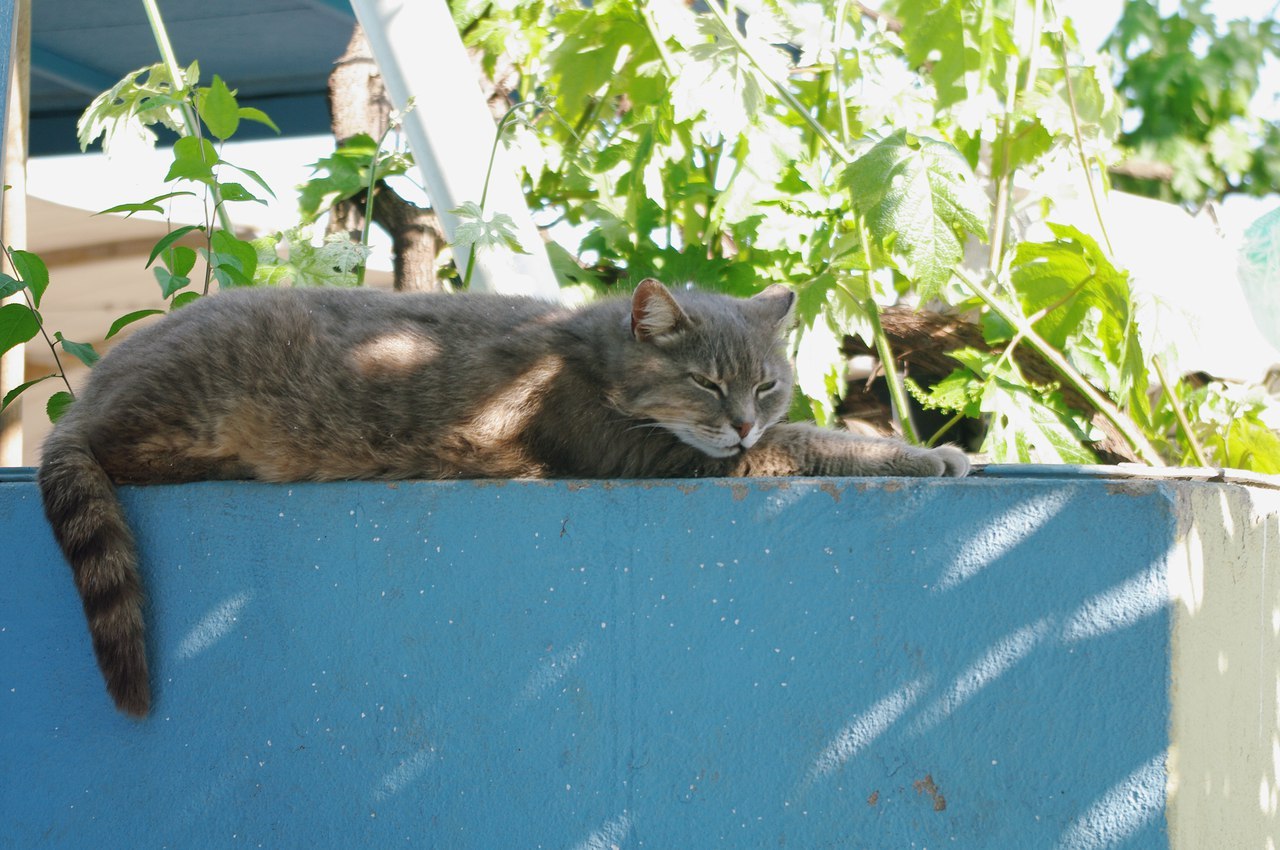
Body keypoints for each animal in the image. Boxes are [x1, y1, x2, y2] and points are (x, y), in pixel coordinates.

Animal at [35, 280, 962, 716]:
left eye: (765, 384)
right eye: (705, 383)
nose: (739, 424)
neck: (593, 356)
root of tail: (85, 397)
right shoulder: (669, 456)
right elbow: (816, 443)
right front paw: (935, 453)